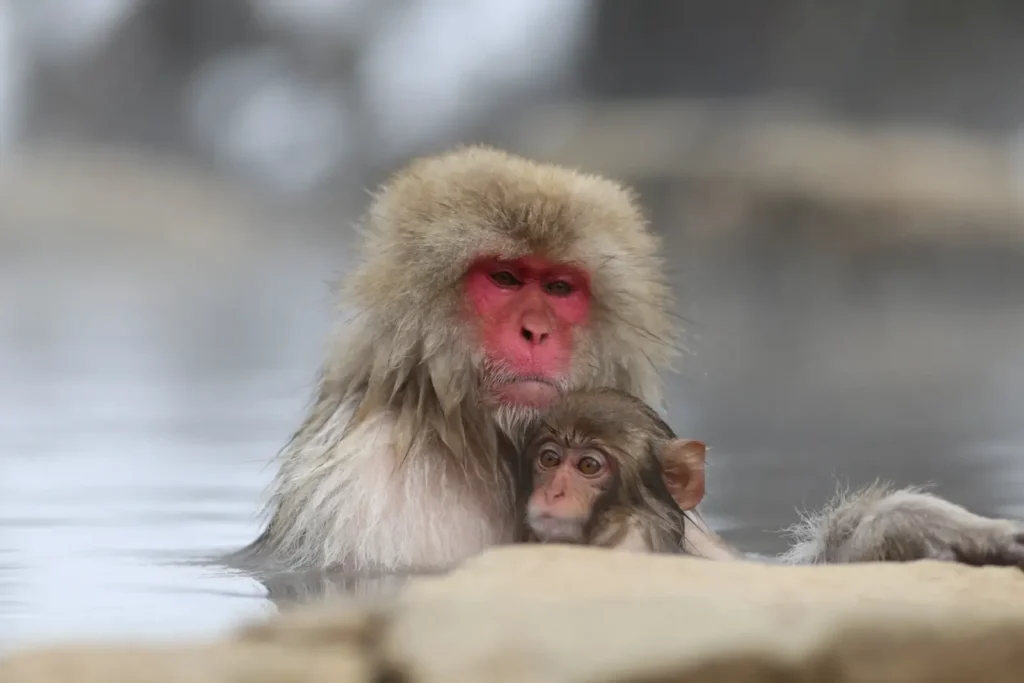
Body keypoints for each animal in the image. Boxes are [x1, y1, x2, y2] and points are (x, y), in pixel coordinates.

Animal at [229, 144, 1024, 581]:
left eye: (559, 288)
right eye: (504, 278)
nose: (534, 331)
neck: (475, 437)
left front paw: (911, 526)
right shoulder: (375, 495)